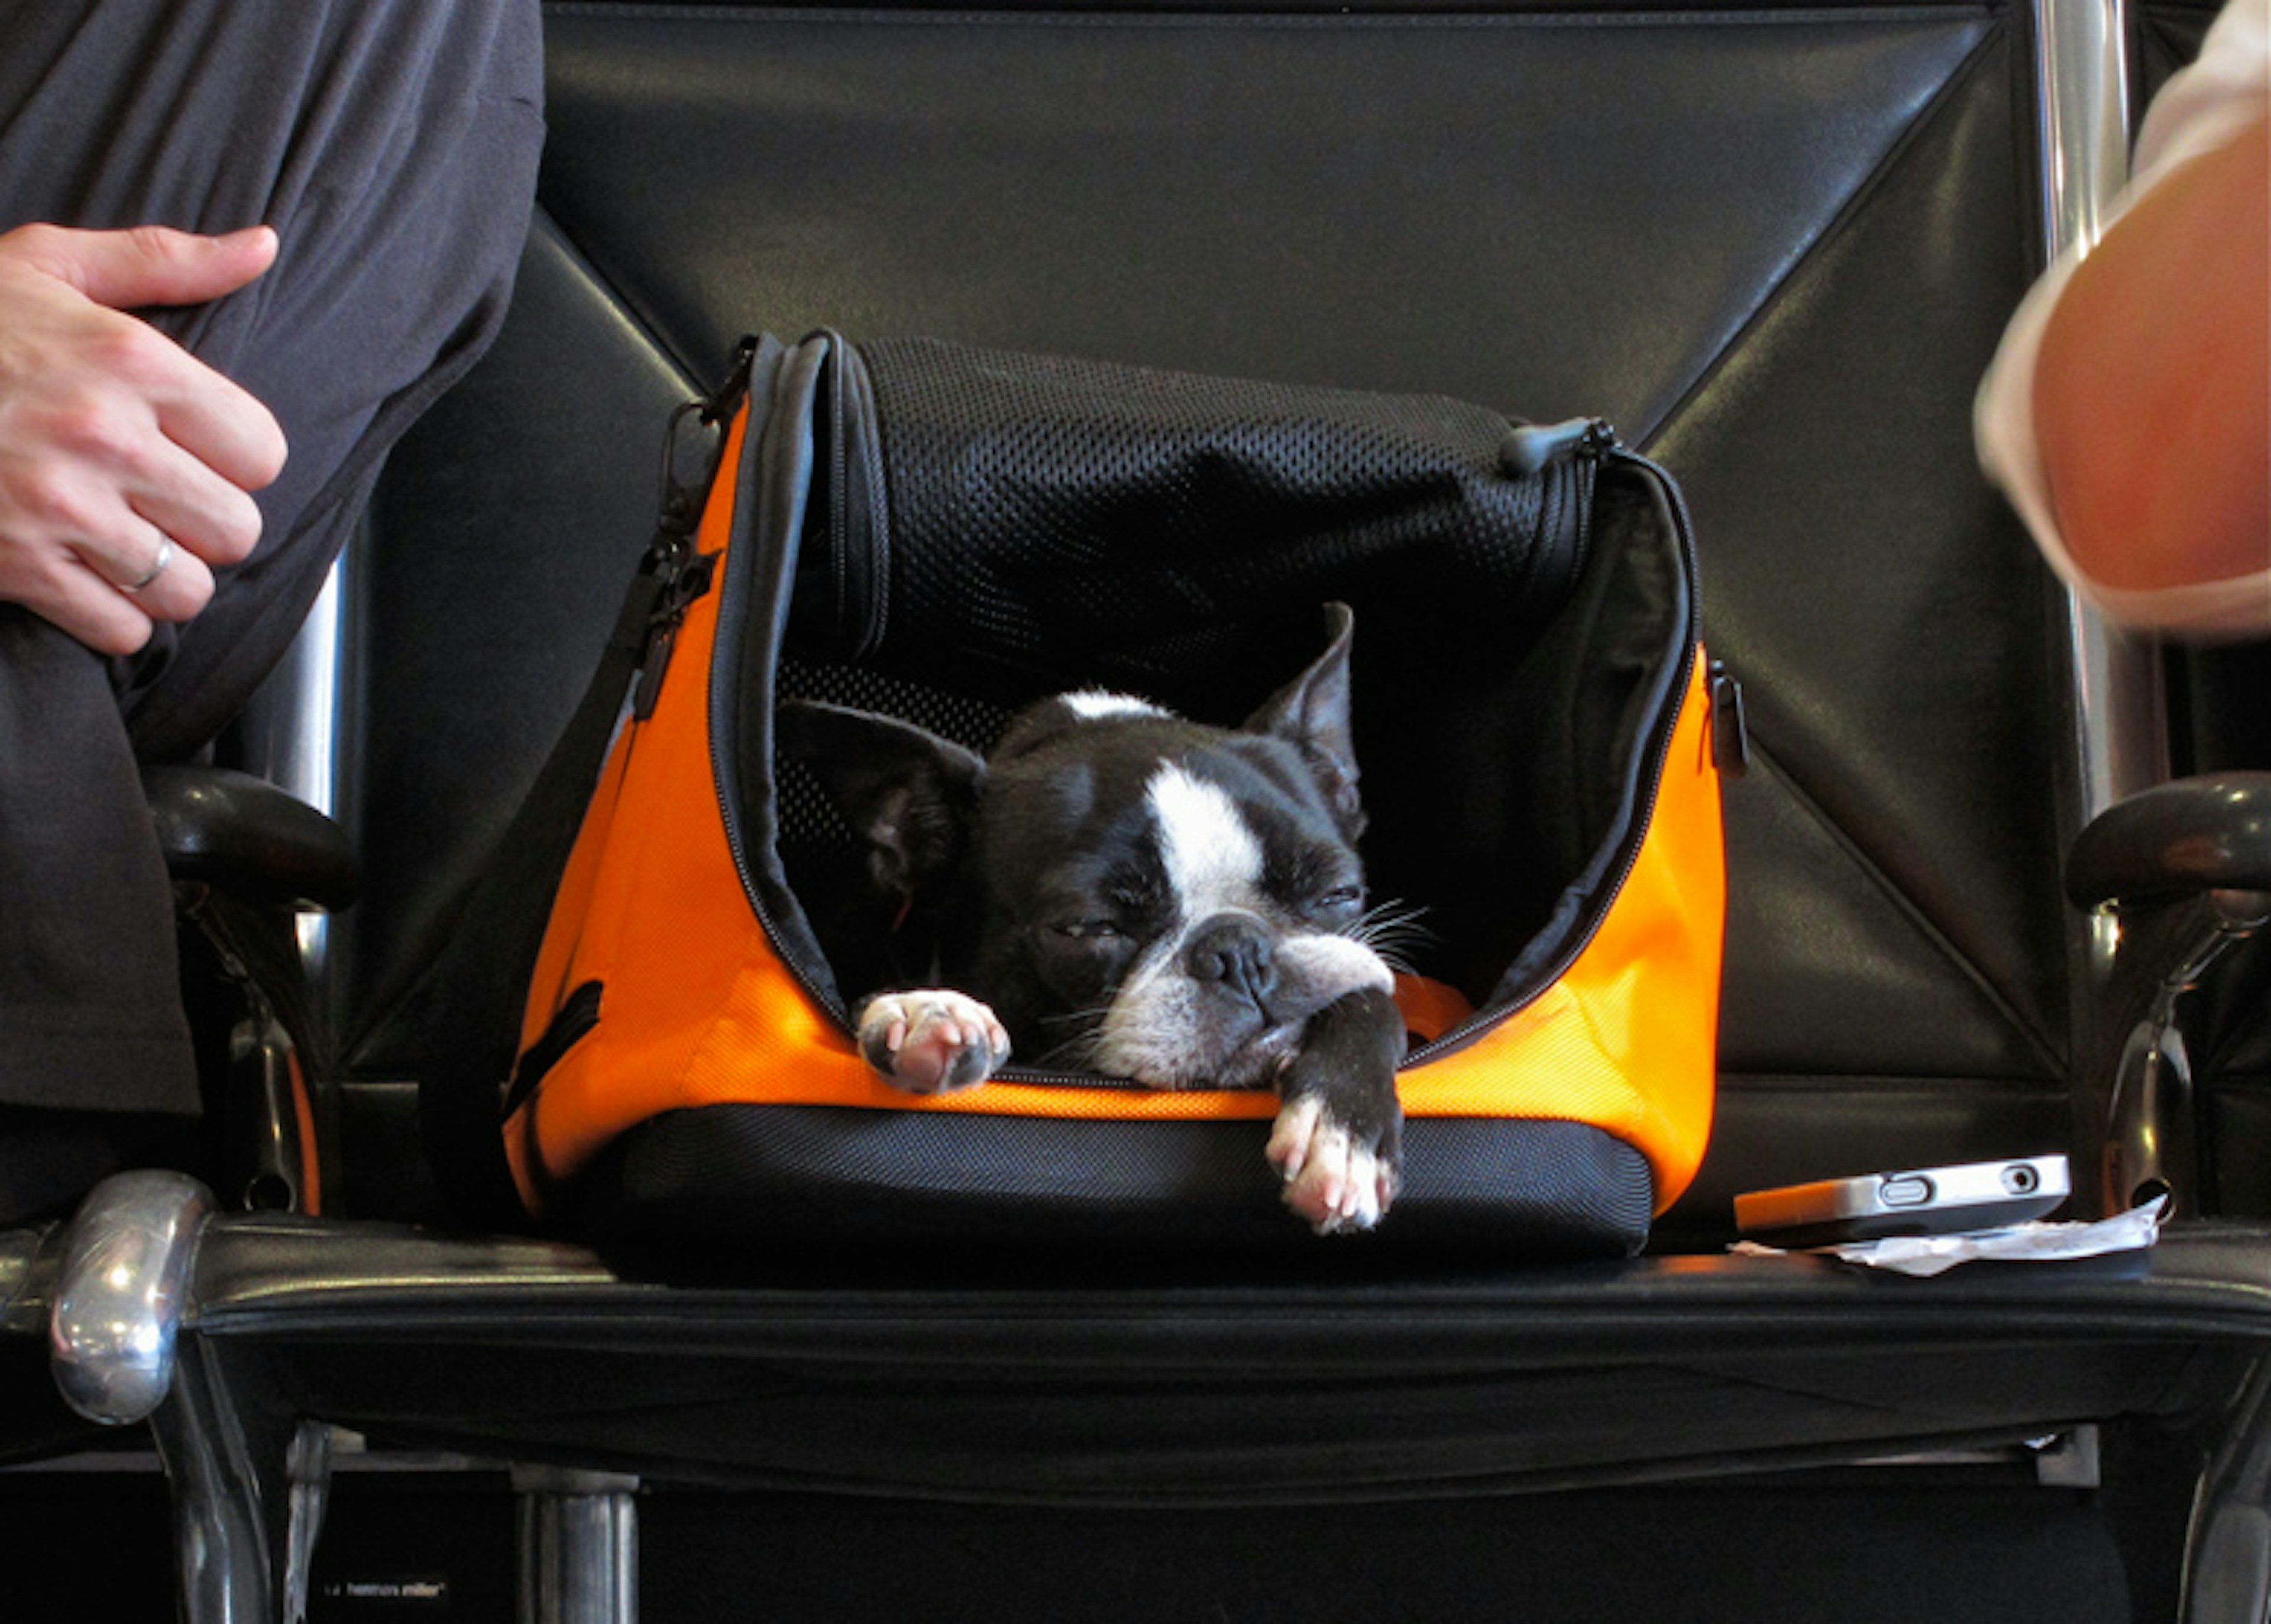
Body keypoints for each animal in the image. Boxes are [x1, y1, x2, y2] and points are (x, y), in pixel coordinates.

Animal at [781, 609, 1399, 1235]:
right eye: (1087, 930)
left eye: (1340, 892)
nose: (1239, 952)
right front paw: (925, 1010)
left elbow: (1371, 994)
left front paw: (1342, 1130)